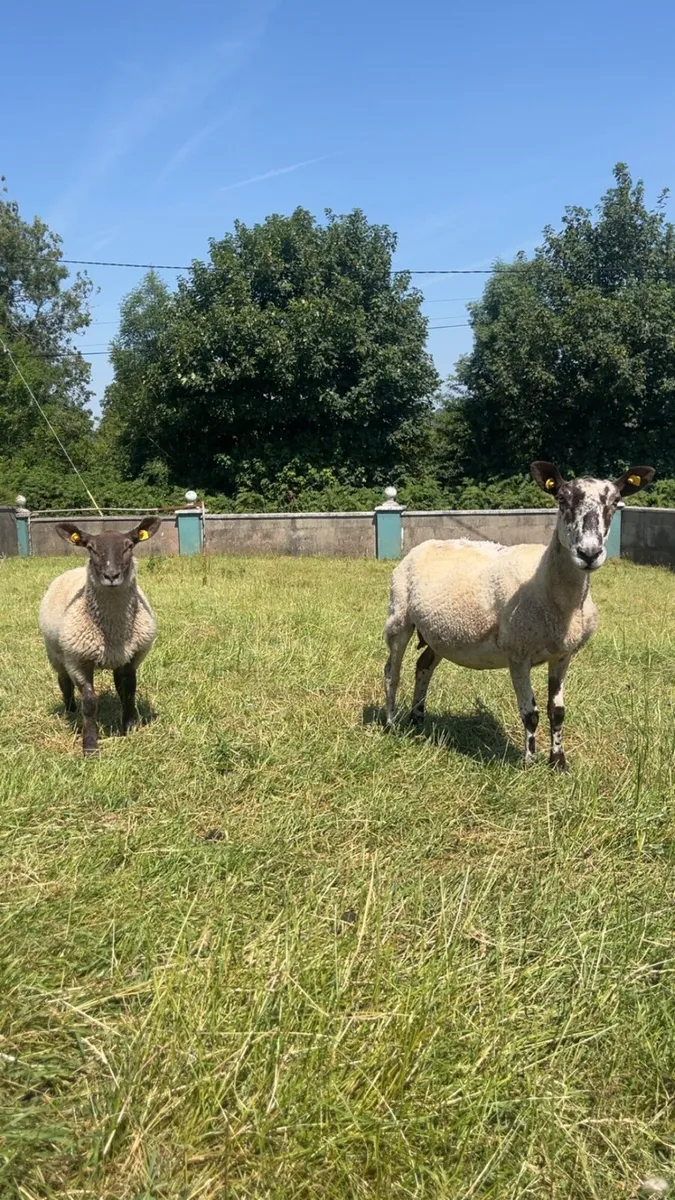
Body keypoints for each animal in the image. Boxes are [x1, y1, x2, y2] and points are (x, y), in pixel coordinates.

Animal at [38, 517, 162, 755]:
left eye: (129, 546)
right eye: (91, 548)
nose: (111, 576)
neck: (113, 632)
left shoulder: (131, 658)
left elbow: (128, 692)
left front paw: (129, 729)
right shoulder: (77, 661)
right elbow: (89, 703)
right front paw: (90, 746)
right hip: (56, 653)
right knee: (63, 681)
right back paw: (70, 710)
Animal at [383, 461, 655, 770]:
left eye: (615, 502)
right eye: (562, 500)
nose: (589, 553)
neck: (549, 588)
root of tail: (420, 546)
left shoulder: (563, 655)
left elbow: (556, 711)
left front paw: (558, 762)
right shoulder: (518, 653)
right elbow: (530, 712)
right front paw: (528, 762)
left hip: (438, 634)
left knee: (423, 666)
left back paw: (418, 719)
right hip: (399, 615)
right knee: (392, 671)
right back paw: (391, 724)